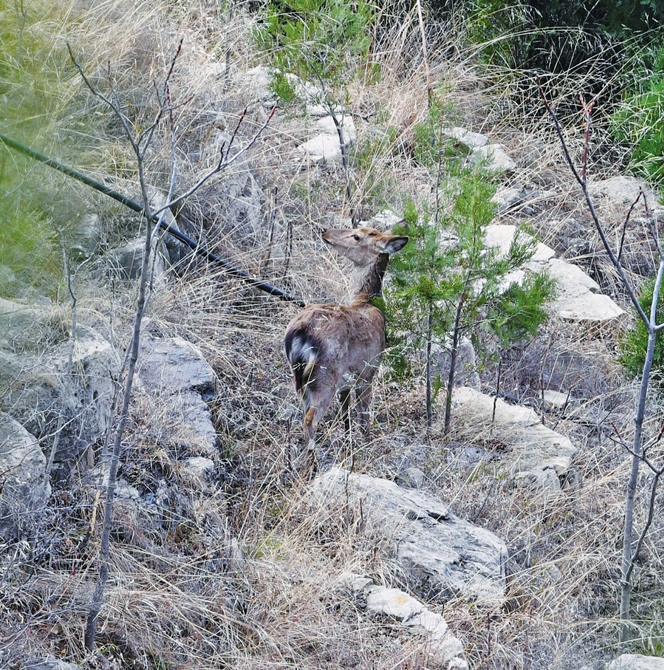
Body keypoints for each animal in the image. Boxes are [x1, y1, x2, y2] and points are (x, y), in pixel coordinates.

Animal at [286, 227, 410, 462]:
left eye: (357, 236)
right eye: (357, 229)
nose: (325, 232)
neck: (366, 301)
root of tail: (300, 333)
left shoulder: (348, 381)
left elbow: (346, 416)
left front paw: (349, 446)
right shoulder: (369, 370)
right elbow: (364, 416)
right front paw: (367, 446)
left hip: (303, 379)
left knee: (303, 414)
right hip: (325, 375)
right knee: (310, 418)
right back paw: (312, 464)